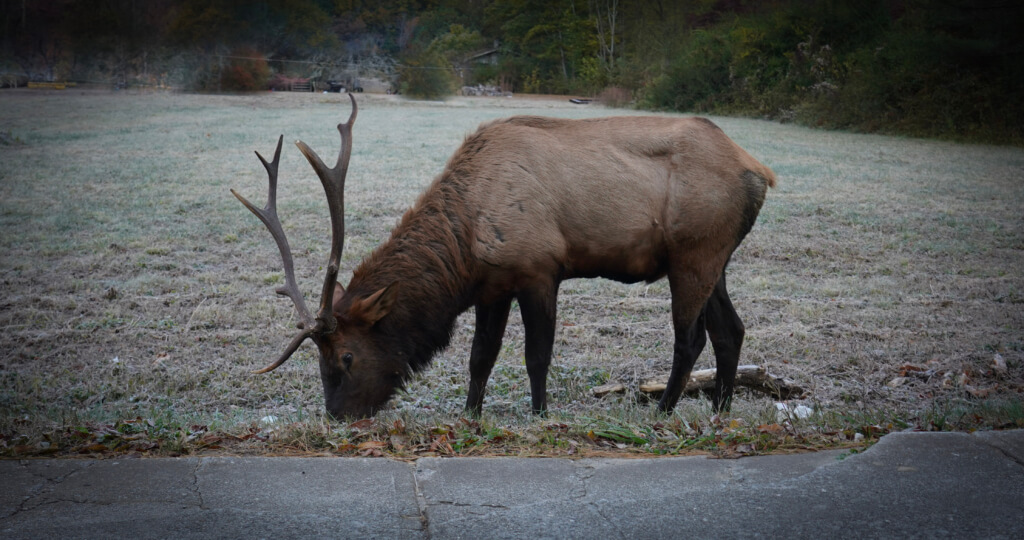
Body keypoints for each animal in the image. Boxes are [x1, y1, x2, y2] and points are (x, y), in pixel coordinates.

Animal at [231, 94, 776, 420]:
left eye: (345, 355)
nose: (338, 416)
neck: (465, 247)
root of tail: (760, 171)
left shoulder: (540, 269)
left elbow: (537, 355)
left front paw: (540, 415)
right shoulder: (492, 285)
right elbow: (480, 357)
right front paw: (470, 414)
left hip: (694, 252)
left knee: (691, 337)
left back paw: (663, 410)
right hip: (713, 258)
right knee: (731, 330)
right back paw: (721, 409)